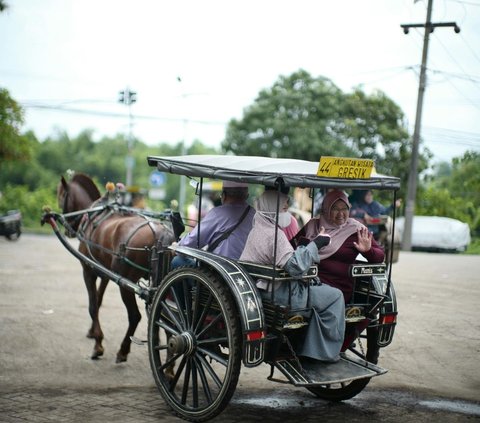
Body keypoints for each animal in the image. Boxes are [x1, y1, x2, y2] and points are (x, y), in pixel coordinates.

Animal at [56, 174, 176, 362]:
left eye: (60, 195)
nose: (68, 229)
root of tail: (160, 232)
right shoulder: (104, 273)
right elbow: (98, 300)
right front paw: (92, 332)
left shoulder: (88, 270)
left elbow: (92, 305)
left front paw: (98, 345)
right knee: (167, 320)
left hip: (125, 284)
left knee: (135, 316)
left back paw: (123, 350)